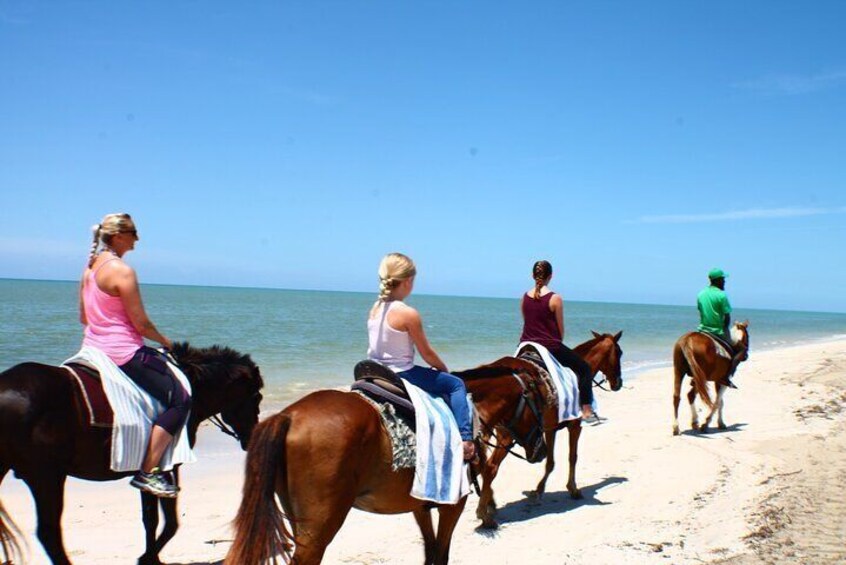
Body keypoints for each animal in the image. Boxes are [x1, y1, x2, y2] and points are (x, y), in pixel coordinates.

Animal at [0, 342, 264, 560]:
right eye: (257, 397)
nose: (252, 436)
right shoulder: (168, 467)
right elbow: (168, 523)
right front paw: (148, 558)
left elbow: (150, 520)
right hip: (47, 477)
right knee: (49, 534)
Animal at [222, 356, 548, 564]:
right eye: (541, 403)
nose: (541, 449)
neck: (469, 410)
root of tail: (288, 416)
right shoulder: (452, 505)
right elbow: (441, 555)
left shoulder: (420, 505)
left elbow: (431, 554)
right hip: (318, 529)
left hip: (299, 521)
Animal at [474, 330, 628, 528]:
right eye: (619, 352)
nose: (618, 383)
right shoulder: (574, 426)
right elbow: (572, 457)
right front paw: (572, 489)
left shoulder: (550, 429)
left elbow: (550, 462)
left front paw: (538, 491)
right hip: (507, 435)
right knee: (490, 467)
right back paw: (484, 514)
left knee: (484, 465)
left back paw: (490, 503)